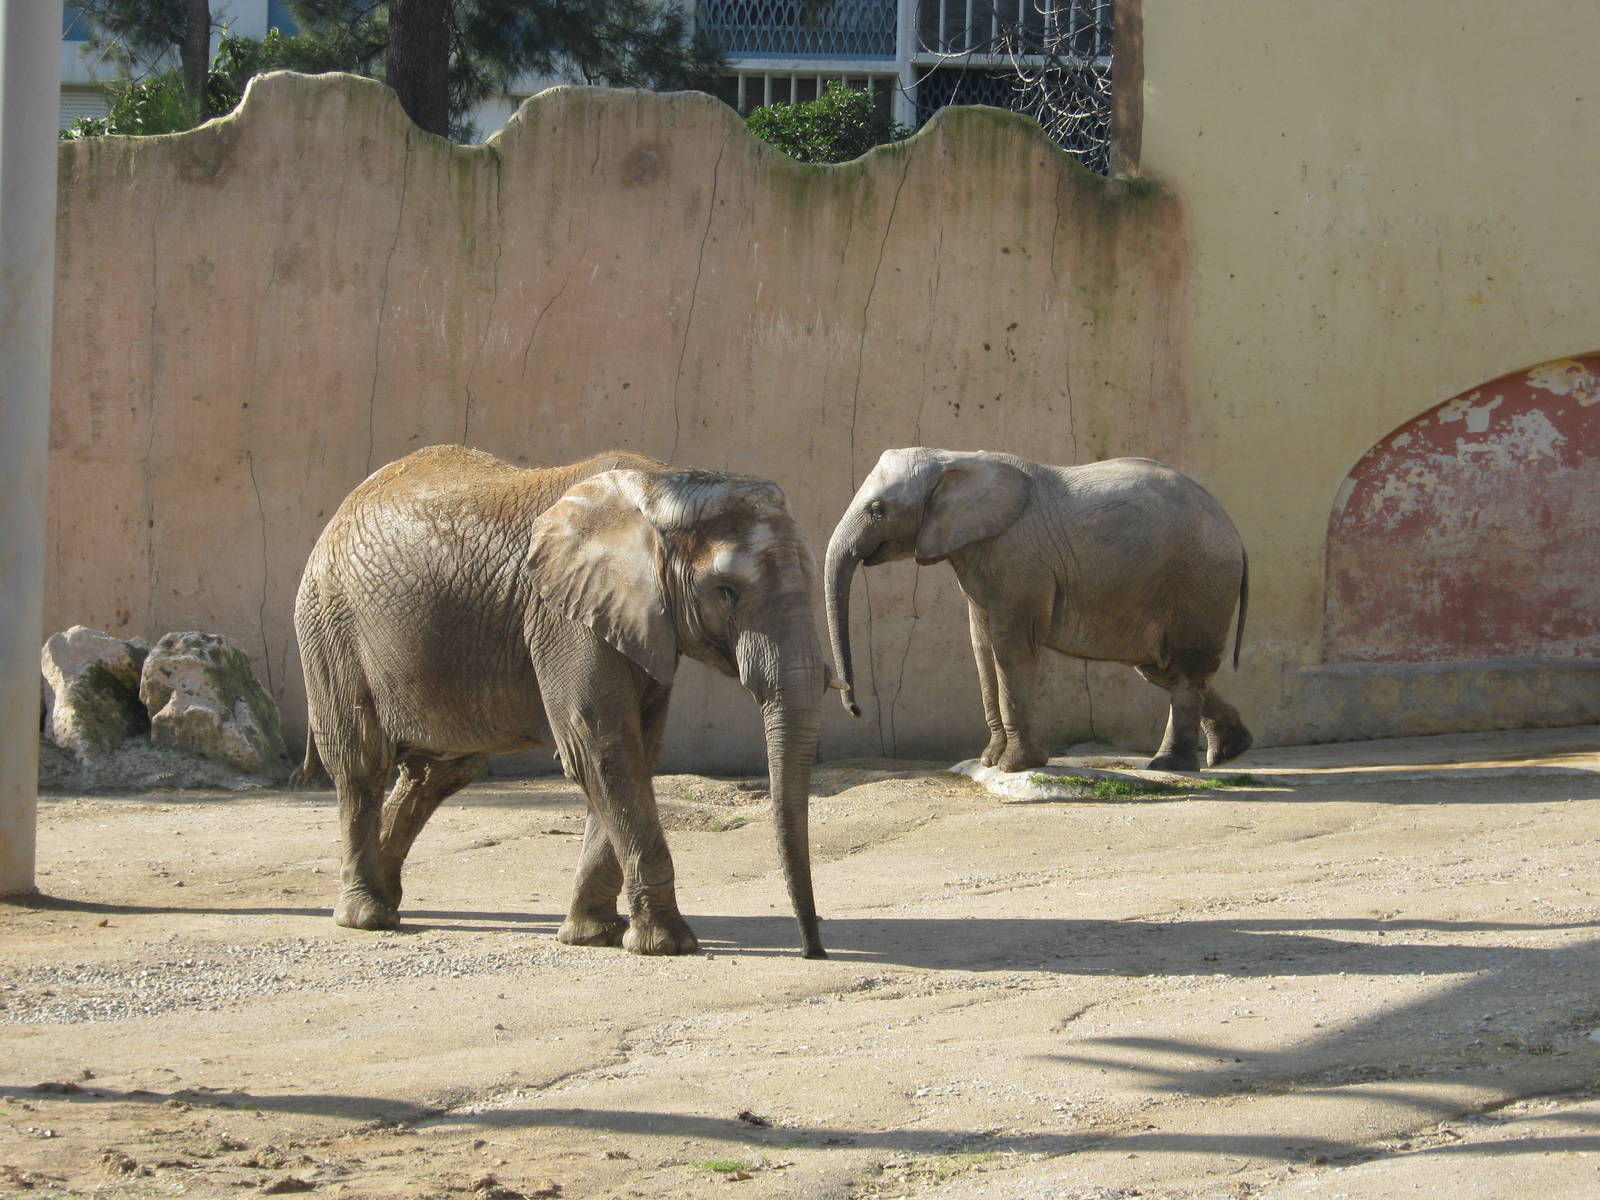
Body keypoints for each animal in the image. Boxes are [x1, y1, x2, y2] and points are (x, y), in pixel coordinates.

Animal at [294, 444, 828, 958]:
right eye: (727, 591)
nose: (813, 950)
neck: (665, 486)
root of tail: (342, 508)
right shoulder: (562, 615)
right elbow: (601, 747)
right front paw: (667, 946)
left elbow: (633, 752)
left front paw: (593, 935)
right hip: (329, 623)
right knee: (361, 762)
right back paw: (366, 916)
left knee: (438, 773)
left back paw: (386, 898)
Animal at [825, 448, 1250, 775]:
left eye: (878, 510)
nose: (856, 709)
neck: (953, 459)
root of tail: (1237, 532)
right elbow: (982, 647)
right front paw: (989, 761)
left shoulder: (1016, 557)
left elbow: (1010, 646)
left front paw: (1015, 766)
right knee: (1163, 668)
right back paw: (1231, 752)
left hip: (1201, 580)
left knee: (1184, 670)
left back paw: (1170, 766)